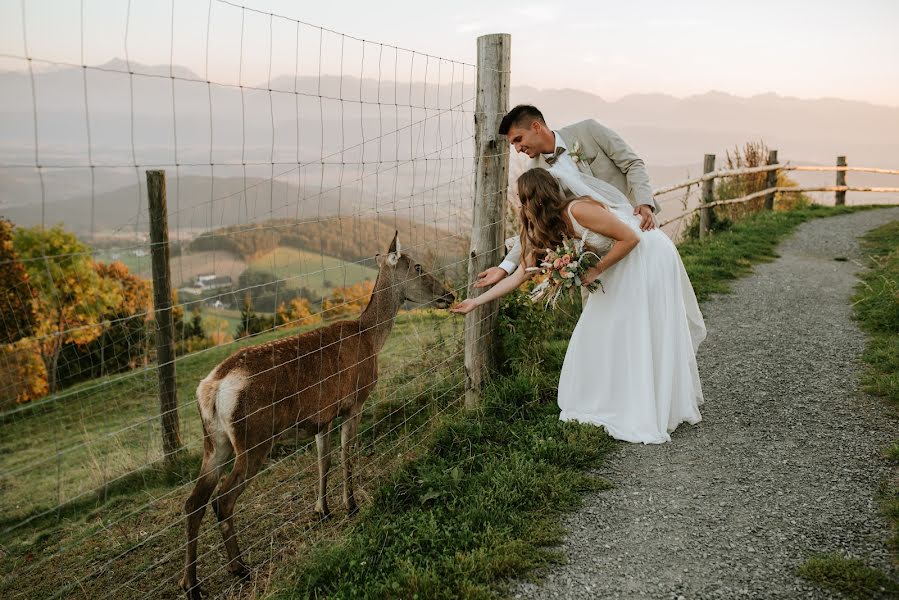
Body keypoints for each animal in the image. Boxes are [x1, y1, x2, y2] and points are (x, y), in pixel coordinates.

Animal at [178, 232, 458, 596]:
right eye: (419, 267)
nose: (449, 295)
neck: (370, 339)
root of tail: (212, 388)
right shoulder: (354, 402)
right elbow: (346, 453)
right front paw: (351, 505)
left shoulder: (321, 418)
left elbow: (323, 461)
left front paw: (321, 511)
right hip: (253, 438)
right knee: (222, 500)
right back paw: (239, 568)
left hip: (214, 441)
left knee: (193, 502)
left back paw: (191, 584)